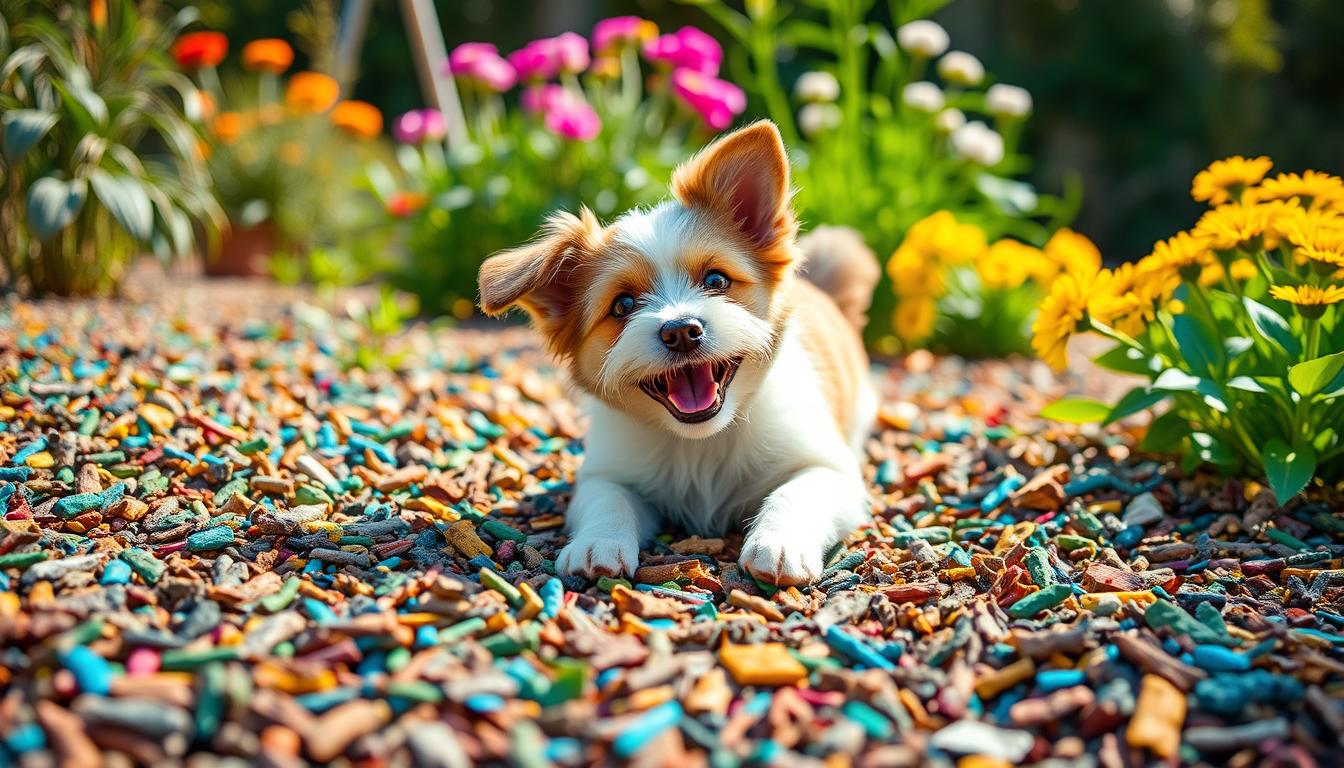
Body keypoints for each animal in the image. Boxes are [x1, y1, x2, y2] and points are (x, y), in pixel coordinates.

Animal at [481, 123, 881, 586]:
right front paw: (597, 543)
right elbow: (607, 500)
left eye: (716, 280)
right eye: (623, 305)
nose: (681, 331)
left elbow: (797, 490)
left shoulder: (828, 467)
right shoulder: (608, 472)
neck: (701, 443)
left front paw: (778, 543)